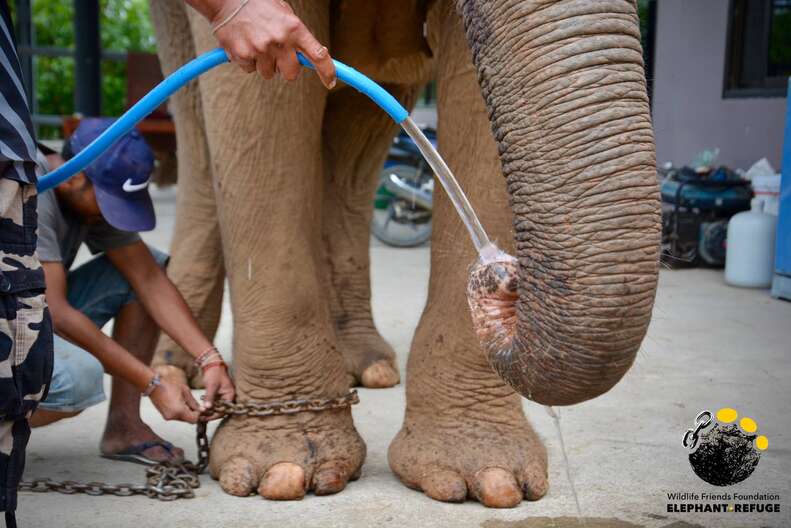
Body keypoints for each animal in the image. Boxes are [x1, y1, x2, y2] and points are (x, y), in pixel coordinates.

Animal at [145, 0, 660, 506]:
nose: (500, 272)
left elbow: (476, 98)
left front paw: (492, 478)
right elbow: (256, 99)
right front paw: (281, 472)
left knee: (355, 139)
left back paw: (368, 370)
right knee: (198, 126)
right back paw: (177, 370)